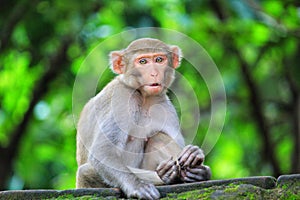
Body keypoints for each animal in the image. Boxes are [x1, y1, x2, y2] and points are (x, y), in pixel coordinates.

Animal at [75, 37, 211, 198]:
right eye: (143, 61)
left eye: (159, 60)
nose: (154, 73)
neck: (145, 98)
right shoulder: (121, 98)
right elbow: (103, 150)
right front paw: (137, 185)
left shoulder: (164, 106)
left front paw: (194, 155)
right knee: (85, 171)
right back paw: (167, 176)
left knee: (158, 137)